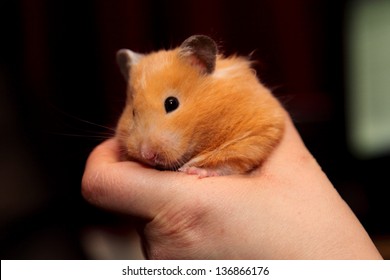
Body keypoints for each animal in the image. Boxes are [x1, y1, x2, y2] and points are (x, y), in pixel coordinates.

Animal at [115, 34, 284, 176]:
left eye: (171, 103)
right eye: (133, 112)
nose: (147, 154)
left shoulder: (258, 134)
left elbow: (228, 162)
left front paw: (194, 170)